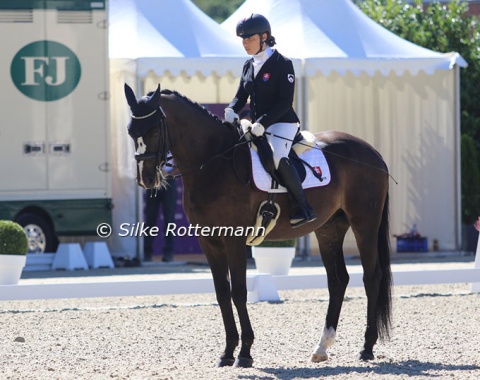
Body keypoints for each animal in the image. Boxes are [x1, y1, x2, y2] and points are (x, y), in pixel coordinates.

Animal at [125, 83, 392, 368]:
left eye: (154, 130)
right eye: (131, 131)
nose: (146, 179)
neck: (214, 162)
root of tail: (372, 151)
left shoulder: (233, 239)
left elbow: (239, 292)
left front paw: (244, 353)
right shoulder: (209, 241)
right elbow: (222, 293)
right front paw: (227, 352)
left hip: (364, 223)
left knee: (371, 276)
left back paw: (366, 347)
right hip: (328, 229)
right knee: (337, 280)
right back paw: (322, 347)